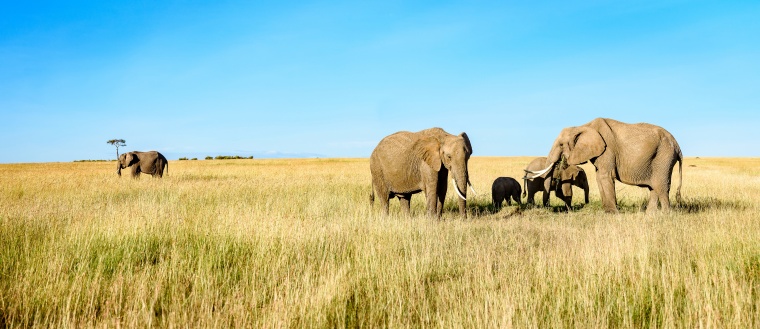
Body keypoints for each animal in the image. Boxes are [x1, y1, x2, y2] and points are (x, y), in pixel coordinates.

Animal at [524, 118, 684, 213]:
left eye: (561, 145)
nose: (547, 207)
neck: (583, 126)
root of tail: (677, 147)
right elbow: (599, 177)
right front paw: (606, 211)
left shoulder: (608, 149)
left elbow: (605, 176)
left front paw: (612, 213)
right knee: (654, 187)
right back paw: (650, 214)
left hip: (664, 156)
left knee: (661, 186)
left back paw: (664, 215)